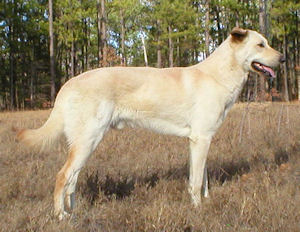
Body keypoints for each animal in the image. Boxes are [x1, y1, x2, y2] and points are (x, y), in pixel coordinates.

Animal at [17, 27, 284, 219]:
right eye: (260, 44)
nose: (282, 59)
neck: (218, 75)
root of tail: (69, 83)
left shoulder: (200, 139)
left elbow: (200, 178)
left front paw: (204, 202)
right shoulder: (201, 139)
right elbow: (198, 180)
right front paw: (199, 210)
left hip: (85, 143)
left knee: (72, 181)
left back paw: (74, 212)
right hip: (88, 140)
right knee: (62, 177)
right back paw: (61, 216)